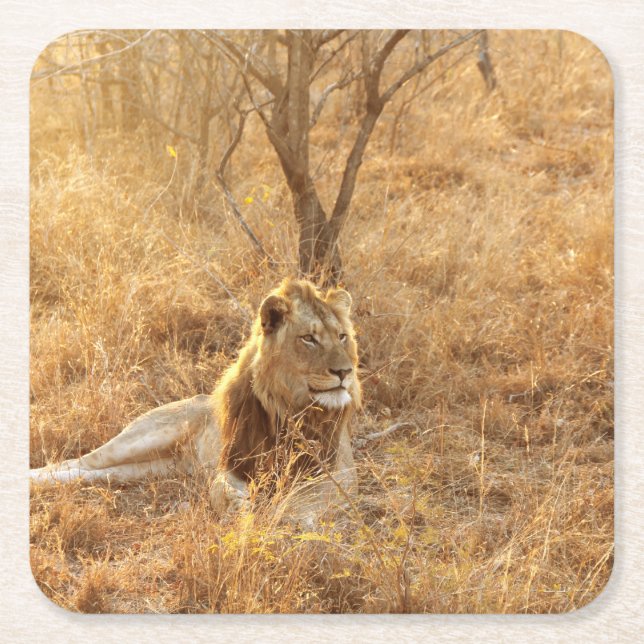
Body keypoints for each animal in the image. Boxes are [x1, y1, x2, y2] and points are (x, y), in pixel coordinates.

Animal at [30, 279, 361, 523]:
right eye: (309, 338)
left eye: (342, 336)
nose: (345, 372)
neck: (291, 407)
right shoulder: (233, 463)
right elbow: (220, 488)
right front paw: (239, 507)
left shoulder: (341, 471)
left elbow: (307, 497)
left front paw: (284, 515)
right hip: (140, 439)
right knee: (76, 461)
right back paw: (33, 478)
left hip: (150, 468)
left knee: (91, 474)